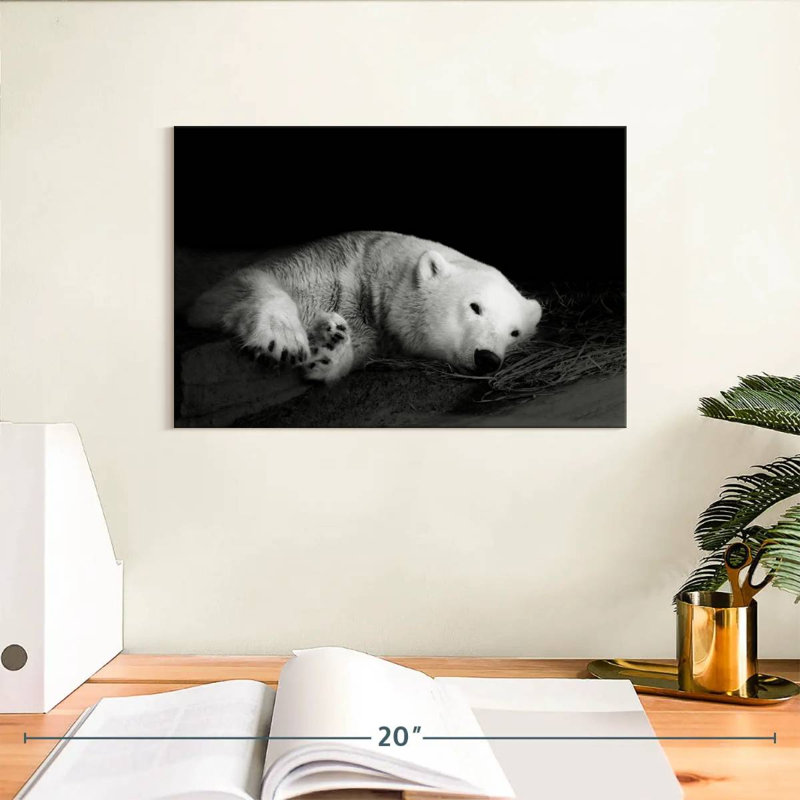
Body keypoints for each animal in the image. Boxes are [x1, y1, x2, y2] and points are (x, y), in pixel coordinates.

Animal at [186, 231, 543, 383]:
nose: (488, 358)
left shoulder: (373, 331)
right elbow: (238, 286)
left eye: (514, 332)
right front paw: (285, 339)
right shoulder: (323, 266)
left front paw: (328, 348)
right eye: (475, 307)